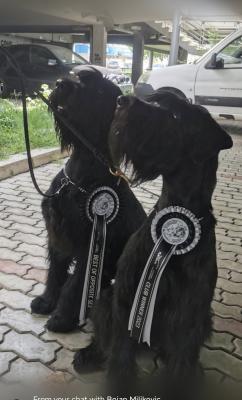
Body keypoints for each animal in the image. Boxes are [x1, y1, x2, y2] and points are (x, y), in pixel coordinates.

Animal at [30, 69, 146, 334]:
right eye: (77, 75)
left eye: (100, 90)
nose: (60, 84)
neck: (82, 174)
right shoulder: (57, 236)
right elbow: (56, 273)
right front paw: (47, 301)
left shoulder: (89, 245)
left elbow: (75, 284)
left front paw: (62, 318)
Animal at [73, 93, 233, 396]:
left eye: (176, 115)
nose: (122, 100)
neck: (178, 212)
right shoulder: (127, 297)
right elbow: (121, 353)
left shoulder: (190, 312)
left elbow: (182, 359)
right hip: (105, 299)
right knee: (104, 337)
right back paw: (89, 355)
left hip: (205, 319)